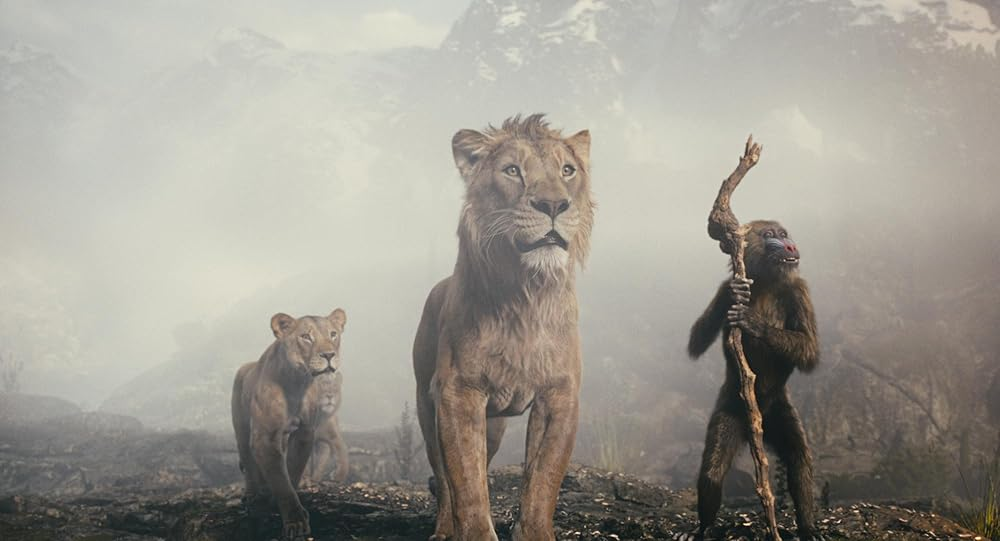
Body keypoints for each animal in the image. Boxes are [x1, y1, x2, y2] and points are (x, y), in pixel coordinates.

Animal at [231, 308, 347, 541]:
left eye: (333, 334)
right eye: (306, 337)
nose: (329, 355)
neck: (297, 383)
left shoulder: (304, 433)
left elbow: (291, 471)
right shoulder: (265, 437)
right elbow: (280, 480)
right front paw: (295, 523)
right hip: (241, 428)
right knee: (248, 461)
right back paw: (253, 496)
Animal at [413, 114, 594, 541]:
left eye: (568, 170)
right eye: (513, 171)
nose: (553, 204)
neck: (526, 293)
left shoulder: (560, 395)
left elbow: (543, 480)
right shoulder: (458, 392)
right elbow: (466, 483)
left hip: (493, 425)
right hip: (427, 405)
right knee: (444, 478)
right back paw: (444, 529)